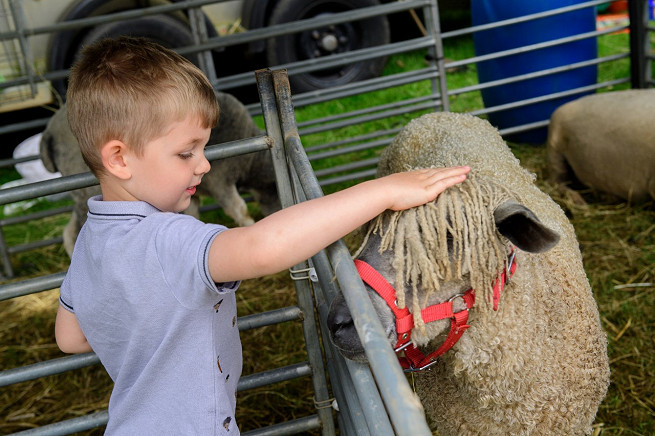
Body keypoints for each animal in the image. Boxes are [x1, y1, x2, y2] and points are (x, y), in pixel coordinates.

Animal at [38, 92, 280, 255]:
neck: (251, 163)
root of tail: (48, 133)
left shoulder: (192, 192)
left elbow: (192, 214)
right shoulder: (221, 179)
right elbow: (238, 208)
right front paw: (250, 226)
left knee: (69, 230)